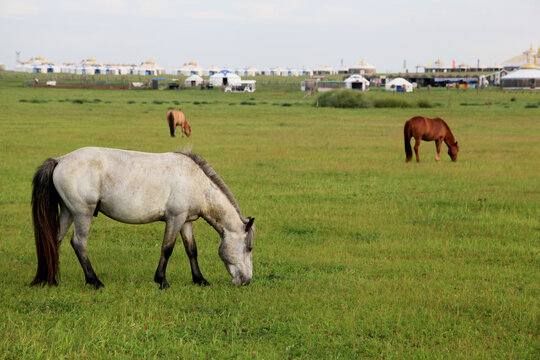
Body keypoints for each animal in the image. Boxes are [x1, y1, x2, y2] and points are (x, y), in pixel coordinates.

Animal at [30, 148, 254, 288]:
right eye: (249, 248)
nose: (247, 280)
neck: (196, 181)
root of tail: (60, 160)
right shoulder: (175, 219)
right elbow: (167, 248)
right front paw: (162, 281)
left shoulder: (186, 221)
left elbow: (192, 250)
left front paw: (199, 280)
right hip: (82, 214)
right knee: (78, 243)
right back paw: (94, 281)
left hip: (68, 212)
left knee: (55, 241)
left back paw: (50, 280)